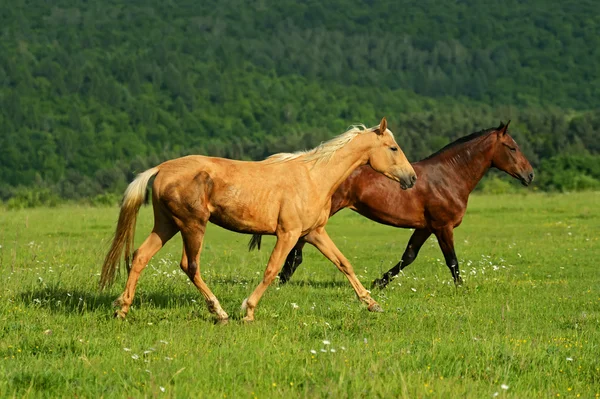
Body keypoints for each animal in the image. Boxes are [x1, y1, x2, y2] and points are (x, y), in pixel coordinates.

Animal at [99, 117, 418, 324]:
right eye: (393, 148)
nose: (412, 178)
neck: (314, 176)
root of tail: (161, 168)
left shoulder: (314, 233)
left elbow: (344, 264)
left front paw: (373, 304)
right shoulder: (288, 234)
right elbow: (271, 270)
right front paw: (248, 311)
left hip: (166, 225)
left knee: (140, 256)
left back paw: (122, 309)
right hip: (192, 225)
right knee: (190, 266)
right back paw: (220, 313)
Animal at [248, 120, 536, 290]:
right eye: (512, 147)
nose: (530, 175)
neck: (449, 177)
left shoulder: (425, 227)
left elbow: (408, 256)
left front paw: (379, 283)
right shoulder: (443, 227)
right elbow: (452, 261)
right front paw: (461, 288)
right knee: (297, 248)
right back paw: (284, 278)